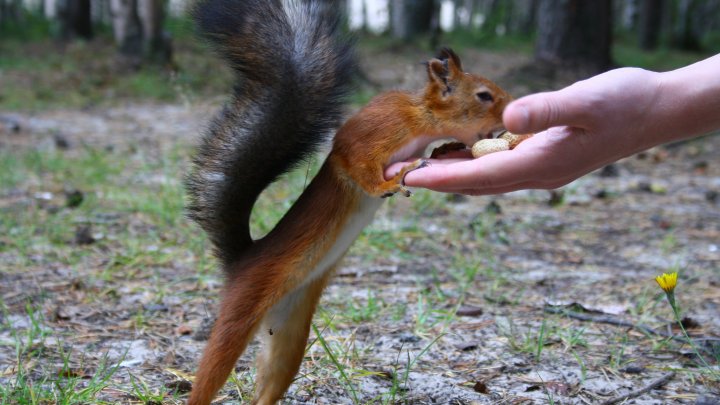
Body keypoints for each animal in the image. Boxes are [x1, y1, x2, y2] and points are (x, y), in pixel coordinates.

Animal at [186, 0, 524, 404]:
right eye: (484, 95)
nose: (514, 106)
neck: (422, 119)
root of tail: (242, 260)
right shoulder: (370, 135)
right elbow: (358, 167)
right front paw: (393, 180)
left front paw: (445, 148)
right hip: (241, 313)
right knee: (213, 369)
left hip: (290, 333)